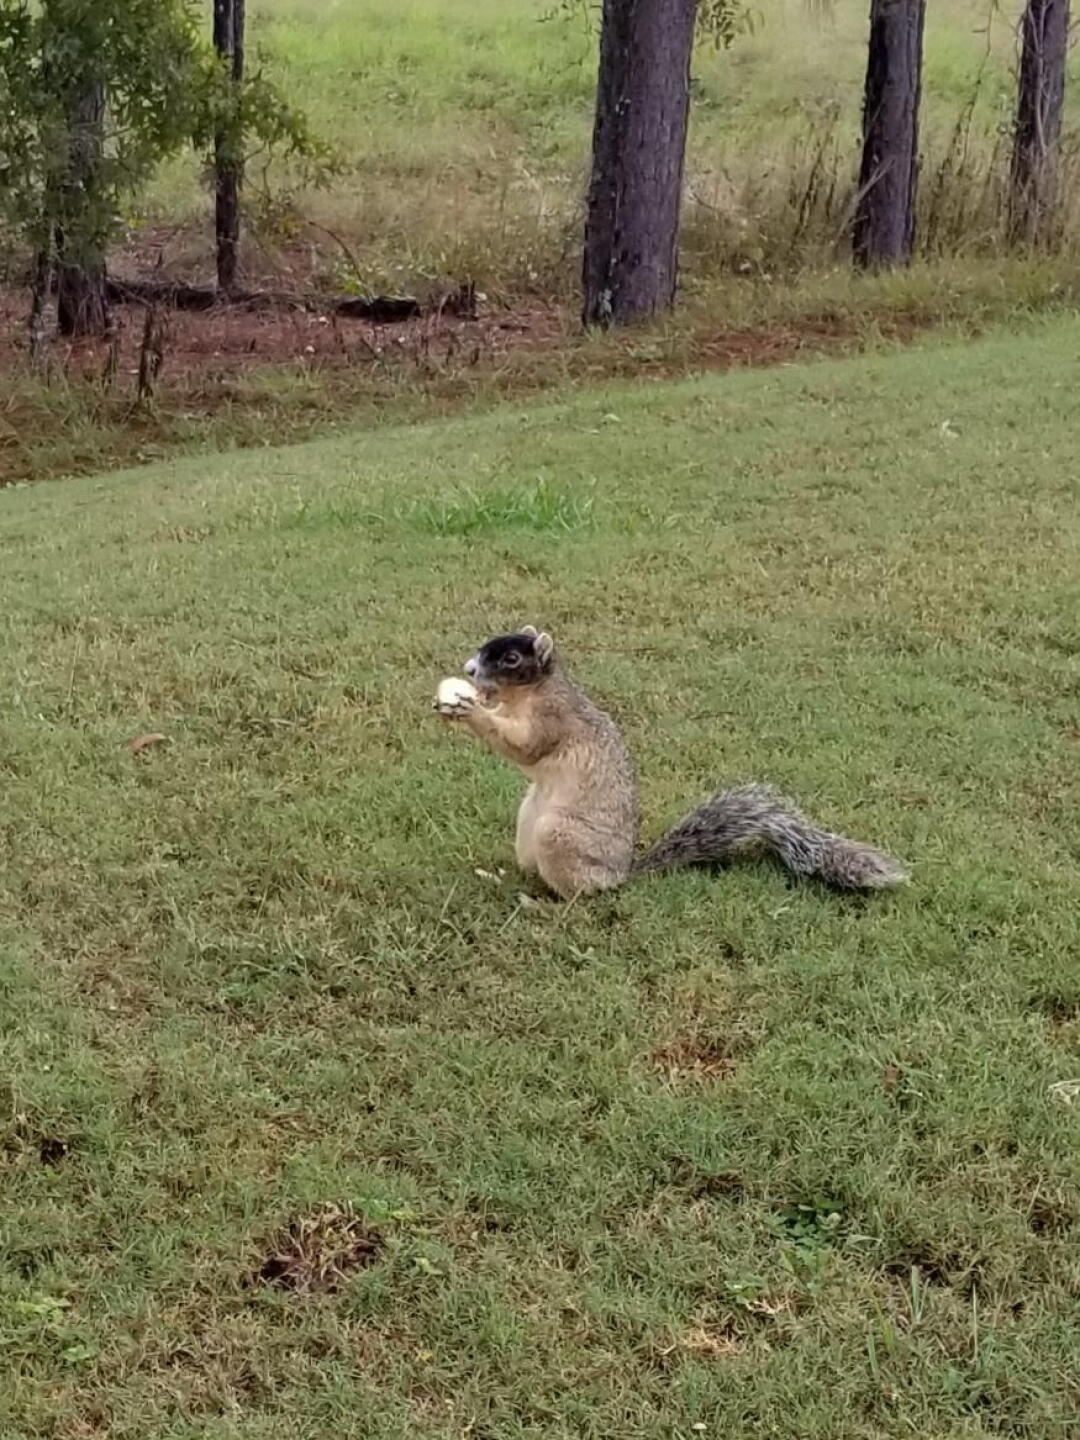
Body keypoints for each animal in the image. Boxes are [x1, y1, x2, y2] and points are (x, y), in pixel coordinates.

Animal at [434, 627, 907, 900]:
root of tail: (620, 874)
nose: (470, 669)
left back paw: (541, 904)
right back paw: (500, 878)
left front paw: (469, 711)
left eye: (512, 659)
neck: (528, 695)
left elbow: (525, 747)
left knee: (577, 897)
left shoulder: (555, 720)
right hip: (528, 824)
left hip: (559, 836)